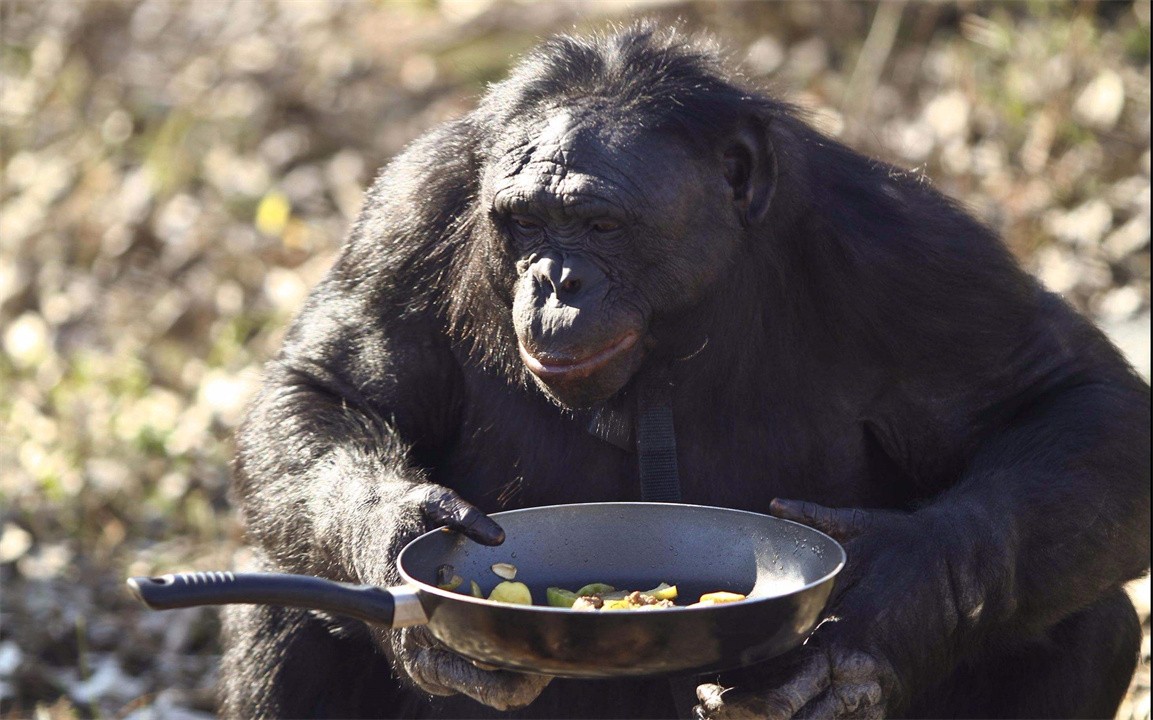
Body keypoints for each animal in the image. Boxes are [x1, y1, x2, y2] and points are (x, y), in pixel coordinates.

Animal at [220, 23, 1148, 720]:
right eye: (524, 223)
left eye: (596, 222)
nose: (554, 280)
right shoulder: (409, 211)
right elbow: (329, 386)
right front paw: (397, 540)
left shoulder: (913, 251)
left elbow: (1069, 400)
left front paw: (892, 593)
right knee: (298, 615)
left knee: (1085, 623)